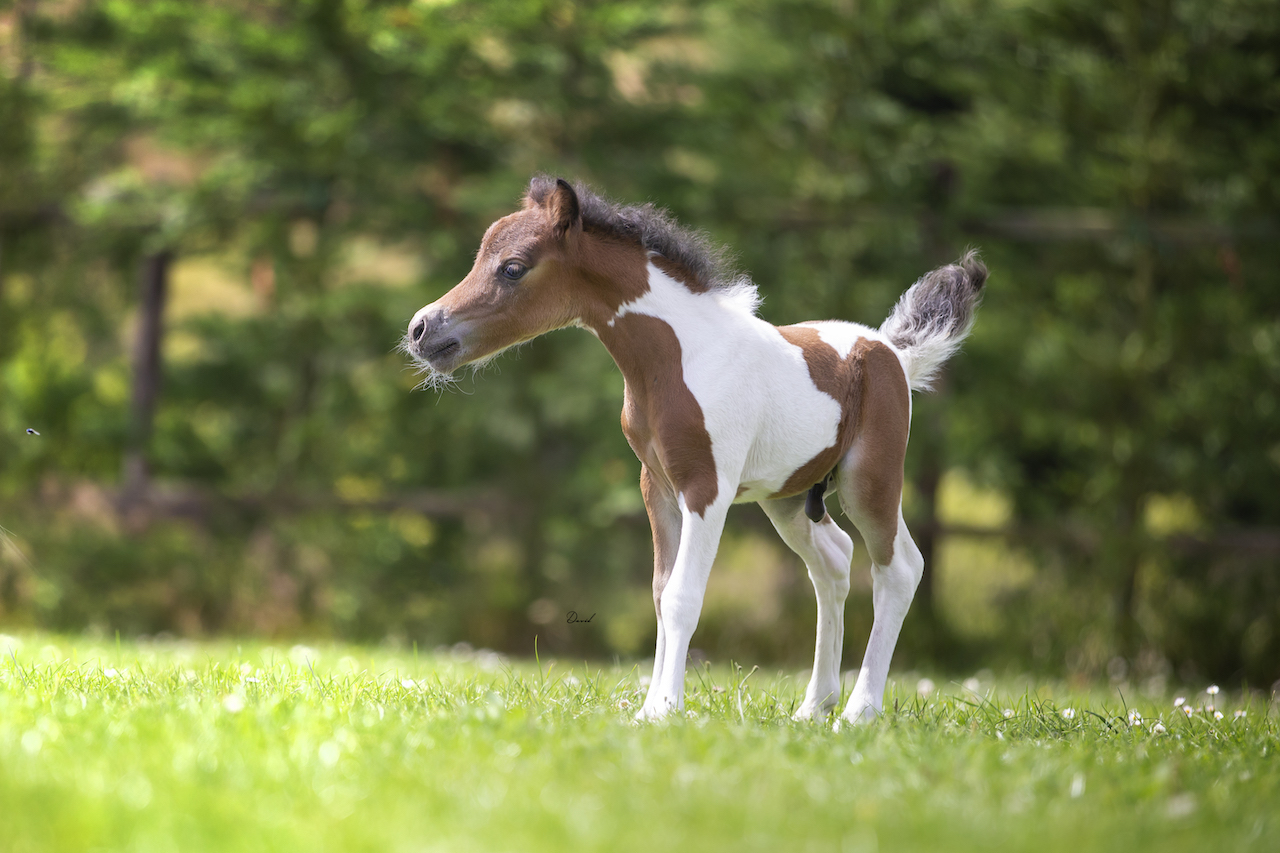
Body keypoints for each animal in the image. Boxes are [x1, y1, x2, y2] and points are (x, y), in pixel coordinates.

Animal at [404, 177, 986, 724]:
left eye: (513, 268)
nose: (420, 329)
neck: (679, 358)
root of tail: (892, 352)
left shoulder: (707, 488)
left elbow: (685, 594)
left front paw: (664, 709)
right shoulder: (657, 486)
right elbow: (662, 594)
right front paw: (650, 707)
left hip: (872, 481)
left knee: (899, 568)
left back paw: (859, 712)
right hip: (787, 498)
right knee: (834, 563)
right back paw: (813, 707)